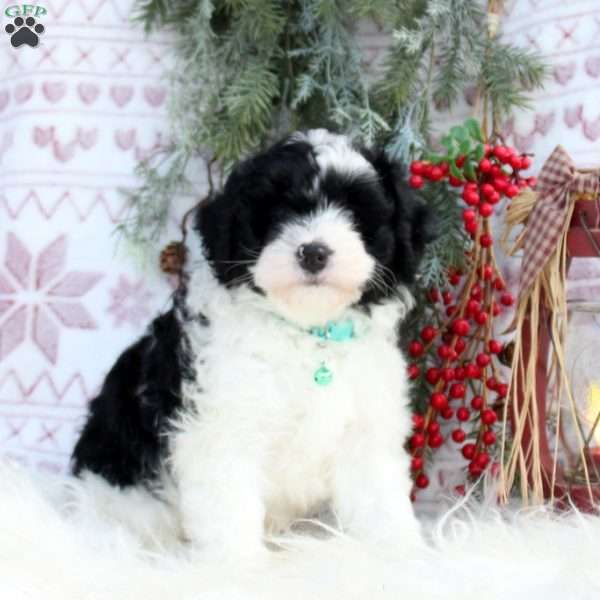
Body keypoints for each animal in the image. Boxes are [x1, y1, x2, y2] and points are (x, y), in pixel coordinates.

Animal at [71, 129, 436, 560]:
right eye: (276, 214)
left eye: (356, 214)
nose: (313, 252)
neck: (307, 334)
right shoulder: (222, 427)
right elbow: (229, 507)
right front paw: (238, 567)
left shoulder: (366, 428)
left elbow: (380, 499)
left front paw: (401, 553)